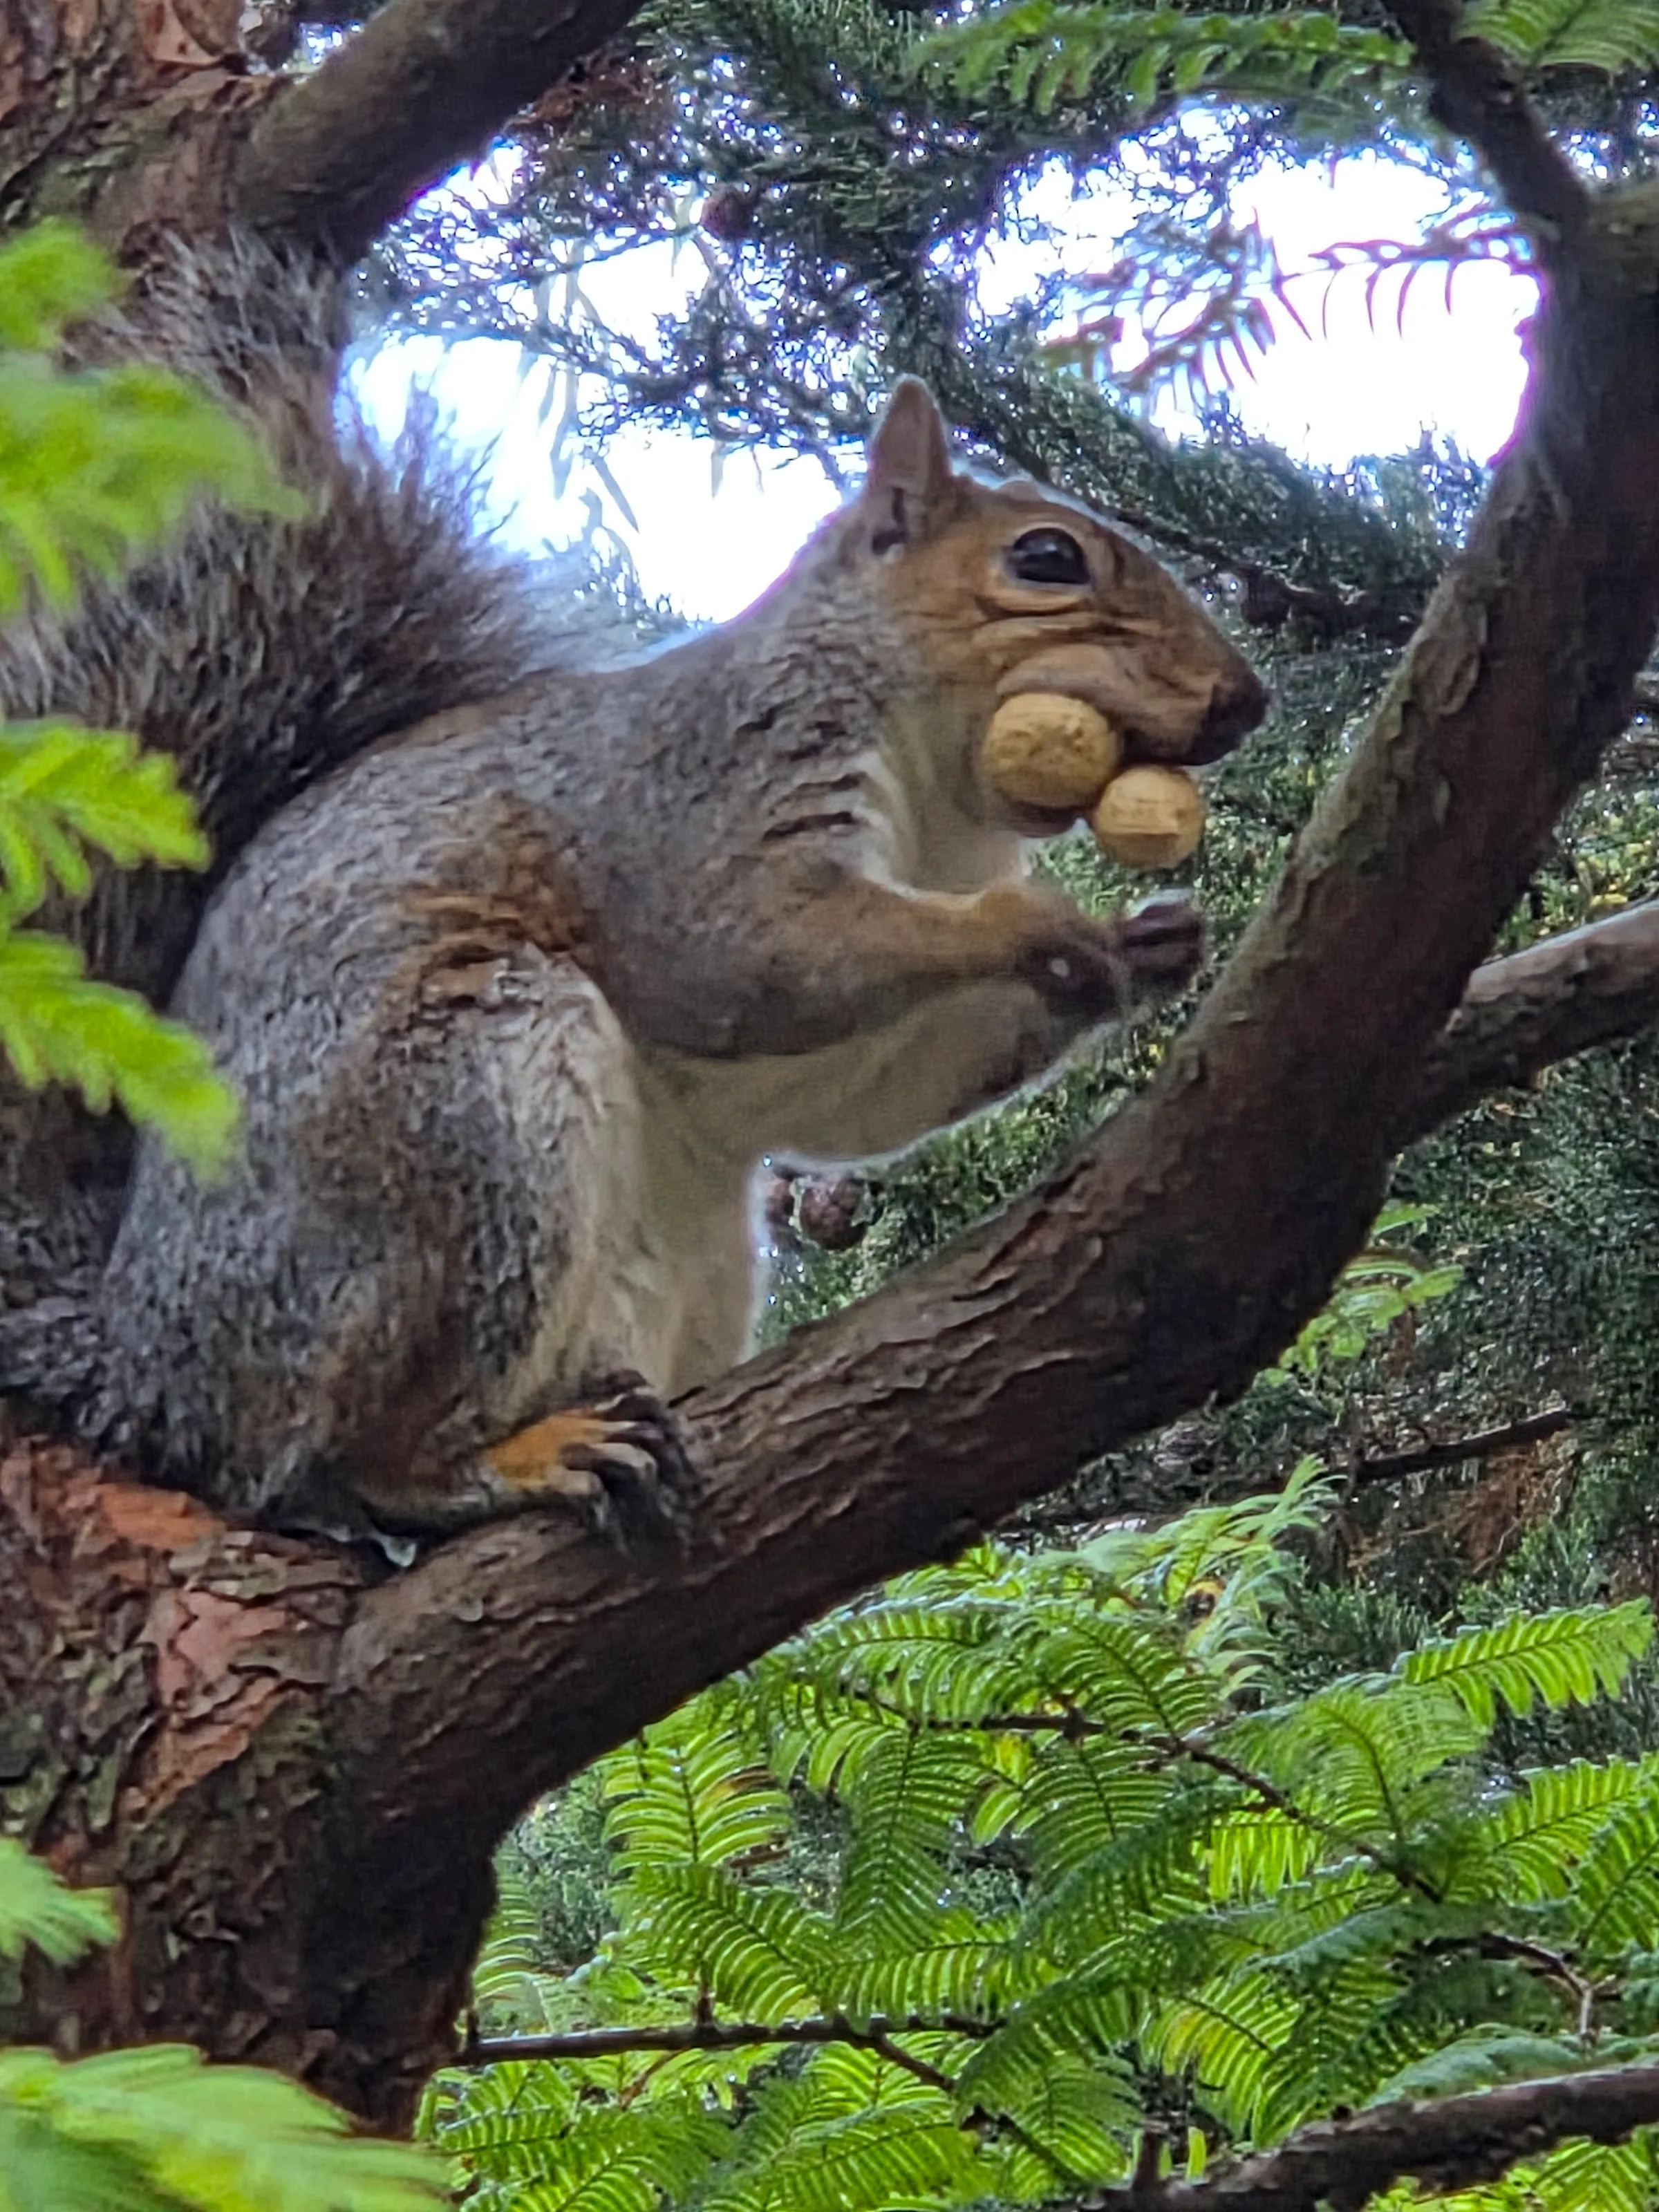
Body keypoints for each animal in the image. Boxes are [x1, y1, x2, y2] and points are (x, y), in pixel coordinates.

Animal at [0, 235, 1267, 1545]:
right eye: (1047, 559)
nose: (1246, 699)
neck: (942, 816)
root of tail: (154, 1371)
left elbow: (865, 1090)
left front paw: (1141, 951)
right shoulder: (701, 800)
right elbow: (755, 955)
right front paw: (1036, 925)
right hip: (456, 1115)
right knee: (358, 1452)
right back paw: (508, 1459)